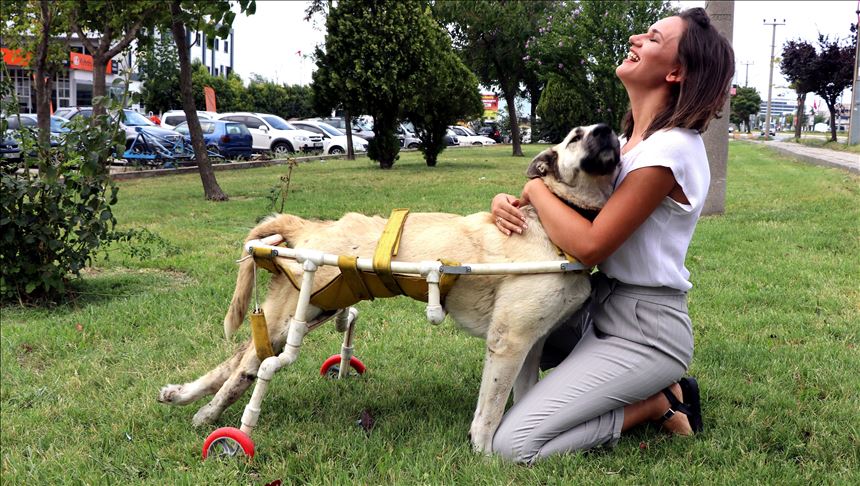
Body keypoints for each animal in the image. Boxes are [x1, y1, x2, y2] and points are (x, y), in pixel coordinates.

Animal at [160, 124, 620, 452]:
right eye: (575, 136)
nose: (606, 130)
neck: (555, 223)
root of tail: (306, 224)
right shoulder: (508, 342)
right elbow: (489, 414)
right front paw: (485, 457)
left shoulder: (531, 344)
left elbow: (521, 402)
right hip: (293, 314)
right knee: (247, 367)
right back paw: (214, 420)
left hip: (310, 308)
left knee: (240, 358)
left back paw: (183, 397)